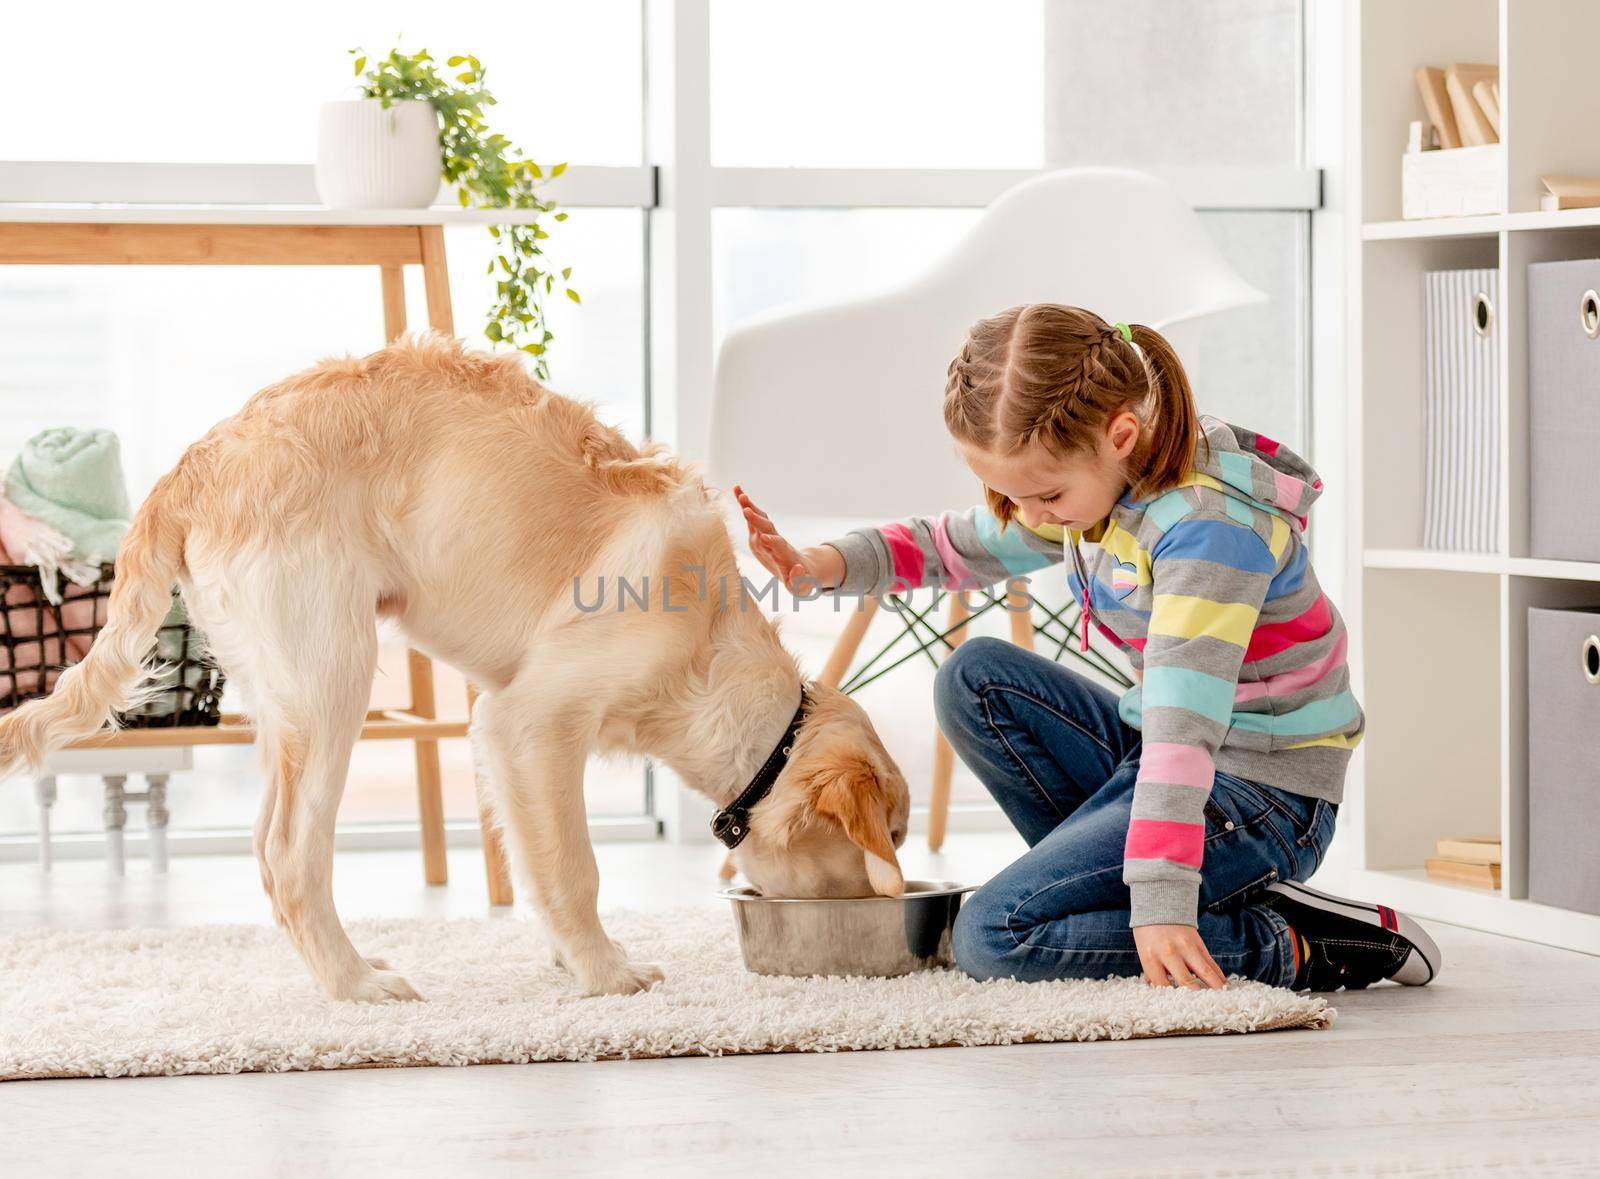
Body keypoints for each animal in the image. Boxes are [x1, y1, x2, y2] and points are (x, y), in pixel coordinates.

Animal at [0, 332, 908, 1004]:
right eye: (892, 837)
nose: (894, 905)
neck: (714, 647)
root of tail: (198, 459)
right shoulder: (527, 724)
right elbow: (574, 865)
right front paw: (606, 971)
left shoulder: (507, 736)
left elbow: (536, 856)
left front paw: (568, 956)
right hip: (335, 674)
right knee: (292, 854)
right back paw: (356, 984)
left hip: (286, 693)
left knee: (266, 844)